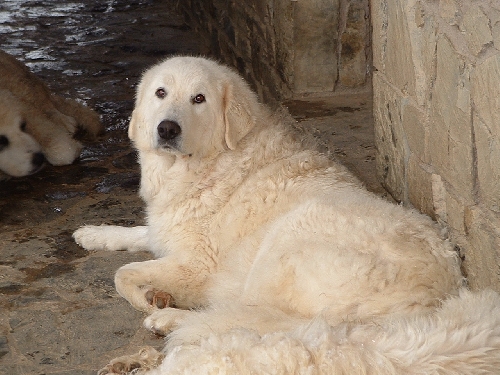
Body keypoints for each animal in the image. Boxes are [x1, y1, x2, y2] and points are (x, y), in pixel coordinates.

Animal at [74, 56, 500, 375]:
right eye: (160, 93)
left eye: (199, 99)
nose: (167, 128)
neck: (209, 164)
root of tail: (440, 295)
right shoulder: (167, 230)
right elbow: (137, 232)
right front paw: (92, 233)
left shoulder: (198, 264)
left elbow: (122, 275)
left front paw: (151, 300)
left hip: (286, 243)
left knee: (266, 324)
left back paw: (170, 320)